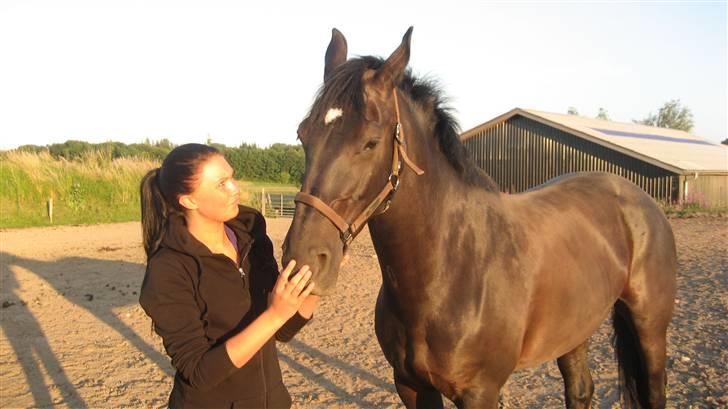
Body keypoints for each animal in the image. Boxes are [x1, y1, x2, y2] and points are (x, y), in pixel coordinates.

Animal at [282, 27, 676, 406]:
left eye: (370, 142)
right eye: (303, 135)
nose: (303, 260)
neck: (451, 270)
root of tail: (639, 199)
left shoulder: (479, 392)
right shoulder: (411, 385)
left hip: (650, 330)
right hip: (573, 328)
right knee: (580, 390)